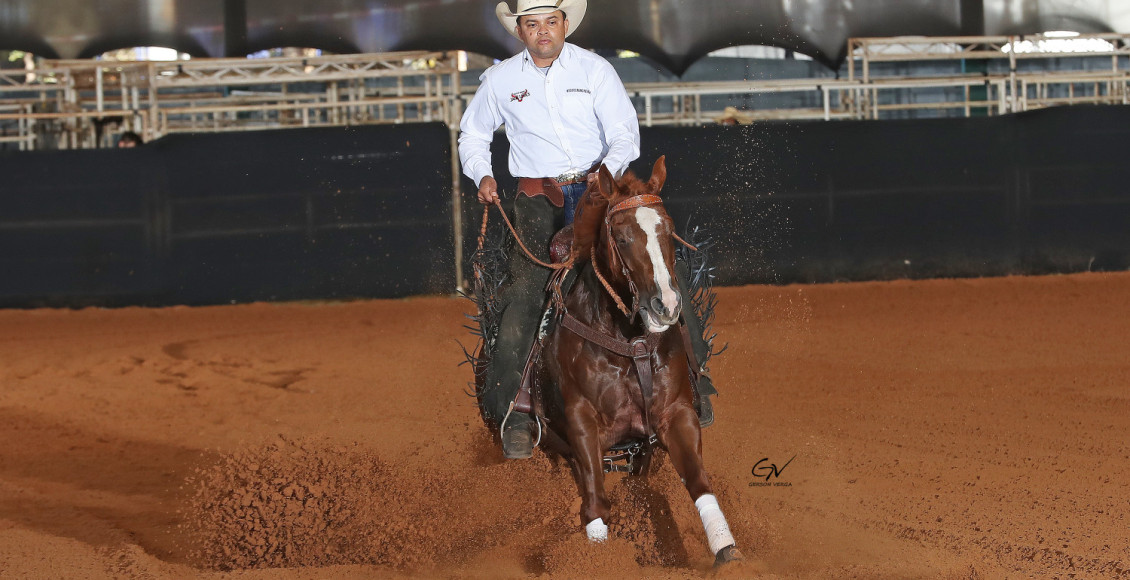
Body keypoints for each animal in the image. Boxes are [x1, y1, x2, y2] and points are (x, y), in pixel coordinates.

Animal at [535, 158, 741, 565]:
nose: (667, 305)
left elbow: (697, 480)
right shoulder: (582, 420)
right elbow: (595, 499)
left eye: (669, 231)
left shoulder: (675, 413)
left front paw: (726, 549)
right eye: (621, 237)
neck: (628, 341)